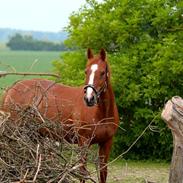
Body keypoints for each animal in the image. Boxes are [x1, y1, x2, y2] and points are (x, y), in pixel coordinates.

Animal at [2, 48, 119, 183]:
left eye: (102, 72)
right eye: (86, 71)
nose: (89, 98)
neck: (102, 114)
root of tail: (11, 89)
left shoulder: (106, 143)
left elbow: (103, 172)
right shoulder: (83, 142)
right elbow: (82, 173)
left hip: (34, 134)